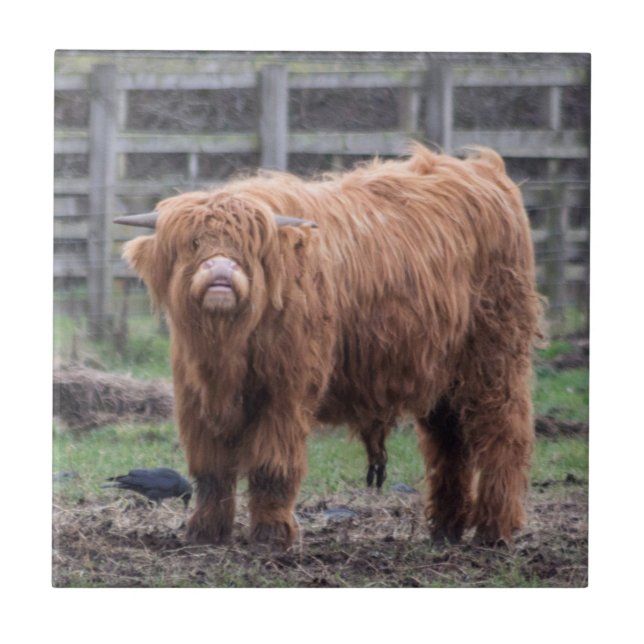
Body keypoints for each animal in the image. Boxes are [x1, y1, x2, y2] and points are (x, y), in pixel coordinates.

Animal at [116, 143, 542, 550]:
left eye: (250, 248)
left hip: (495, 356)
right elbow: (212, 471)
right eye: (193, 243)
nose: (221, 269)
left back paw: (494, 529)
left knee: (503, 433)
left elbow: (272, 466)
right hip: (442, 373)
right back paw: (445, 530)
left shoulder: (285, 393)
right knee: (449, 443)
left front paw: (270, 536)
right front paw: (205, 533)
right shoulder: (196, 396)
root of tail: (482, 170)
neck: (228, 345)